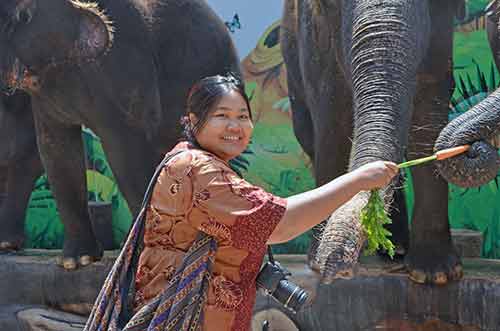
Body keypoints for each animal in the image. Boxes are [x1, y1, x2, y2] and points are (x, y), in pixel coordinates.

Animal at [284, 0, 466, 286]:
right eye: (332, 4)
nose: (338, 268)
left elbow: (428, 105)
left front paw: (436, 275)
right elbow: (333, 115)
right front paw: (316, 261)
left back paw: (397, 248)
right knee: (307, 133)